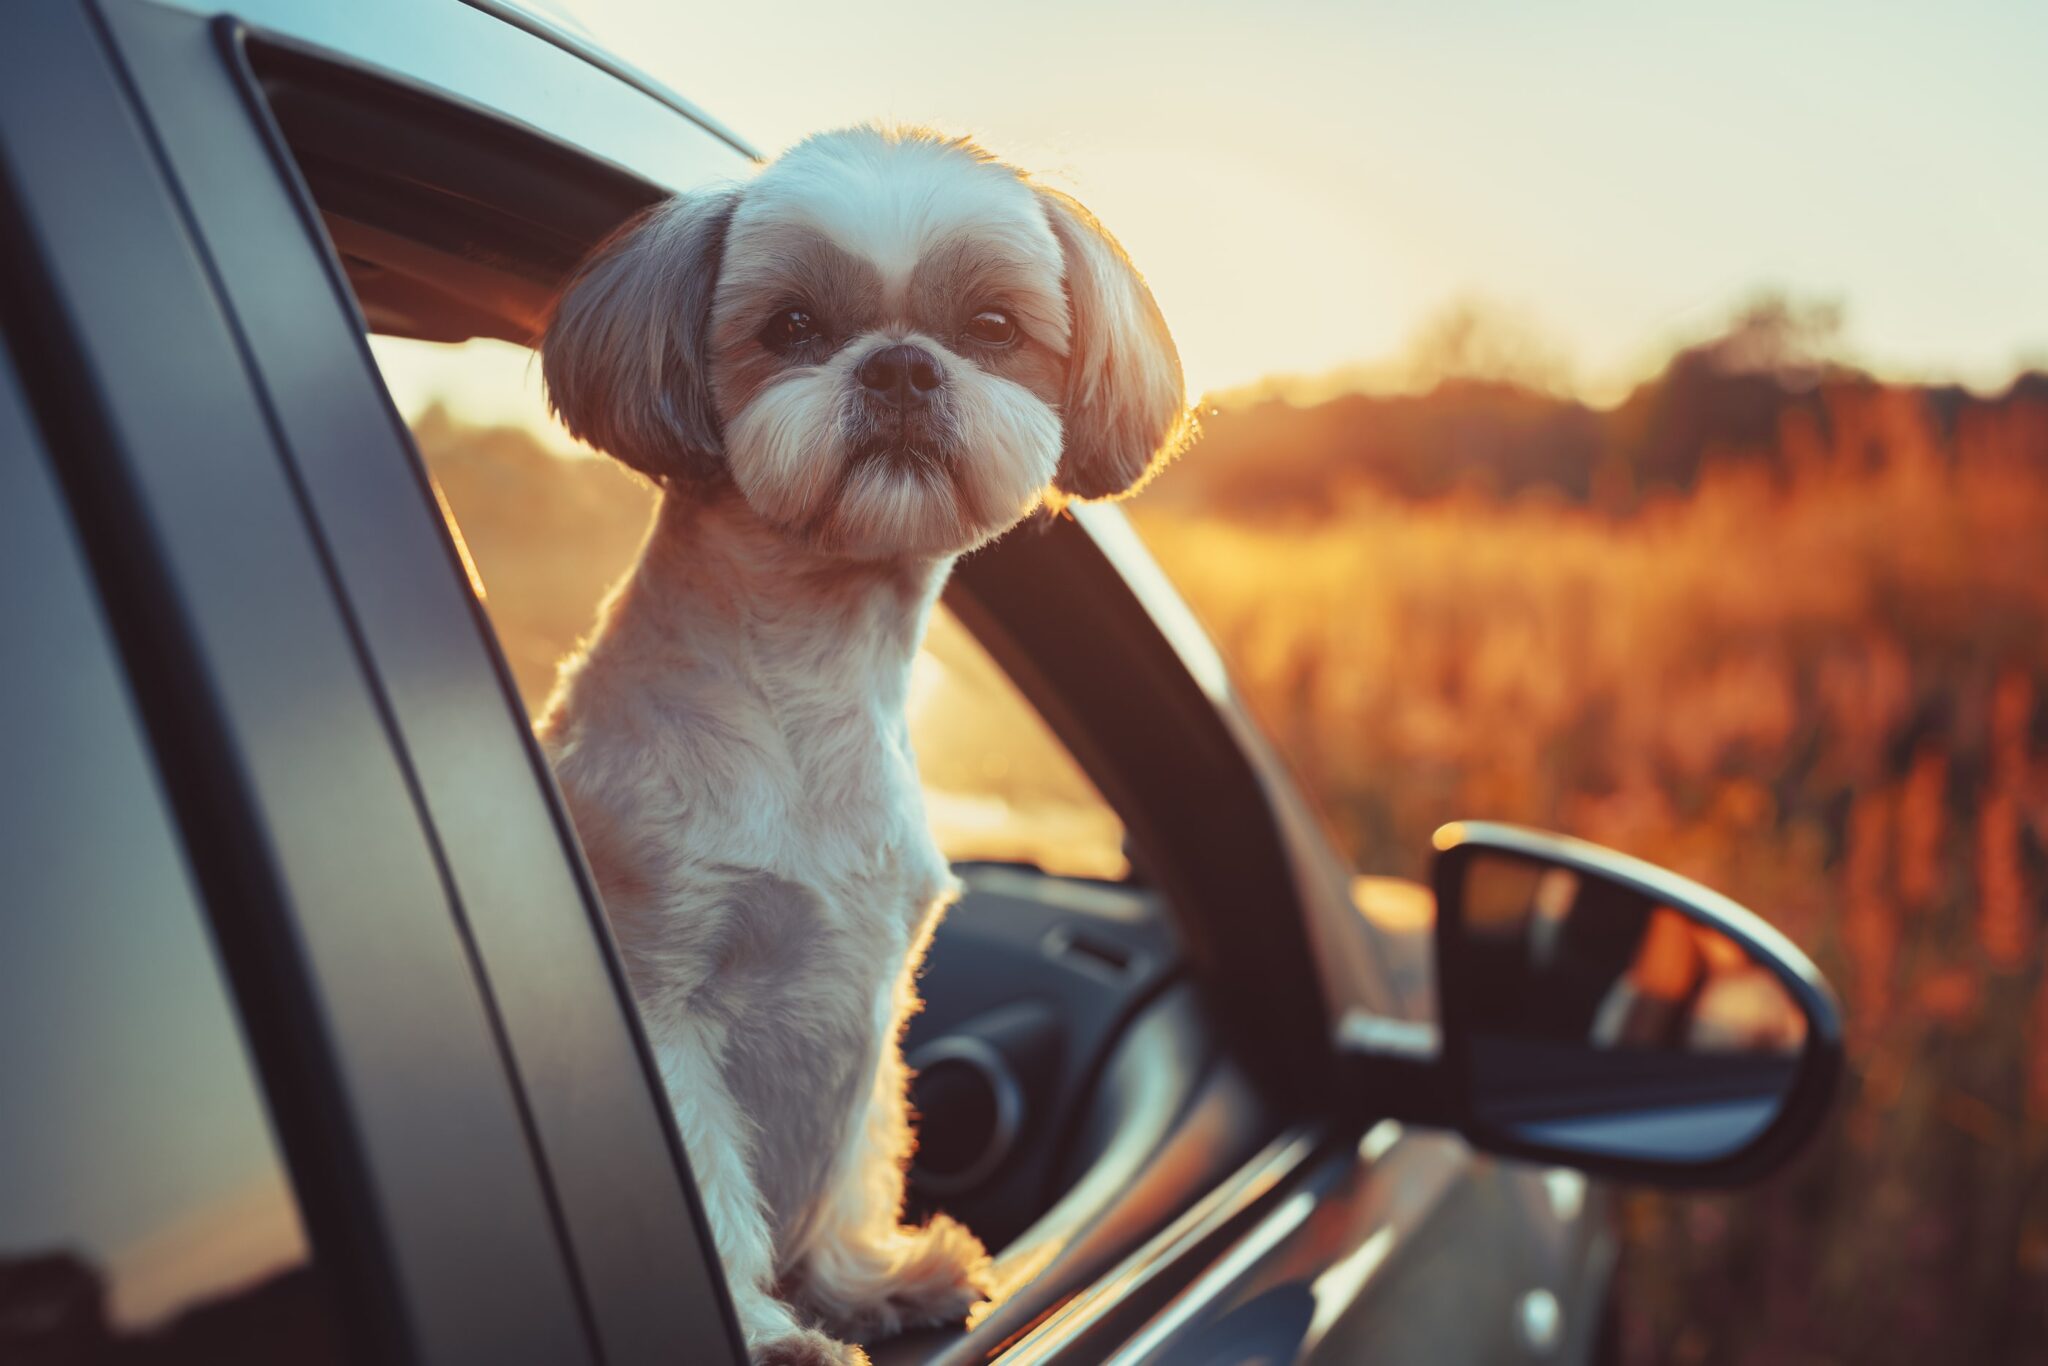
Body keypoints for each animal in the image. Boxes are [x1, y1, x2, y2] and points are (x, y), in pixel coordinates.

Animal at [536, 127, 1196, 1366]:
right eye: (789, 326)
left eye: (990, 325)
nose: (898, 367)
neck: (813, 670)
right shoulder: (661, 1000)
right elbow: (707, 1183)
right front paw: (761, 1328)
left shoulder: (867, 1001)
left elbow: (850, 1160)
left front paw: (859, 1278)